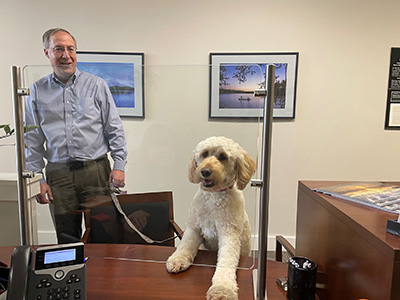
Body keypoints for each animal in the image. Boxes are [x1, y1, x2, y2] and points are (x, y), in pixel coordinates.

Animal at [166, 137, 256, 300]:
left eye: (223, 157)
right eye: (204, 154)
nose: (205, 171)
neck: (214, 196)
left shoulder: (229, 234)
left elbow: (226, 262)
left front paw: (222, 289)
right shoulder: (194, 228)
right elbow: (185, 246)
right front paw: (177, 260)